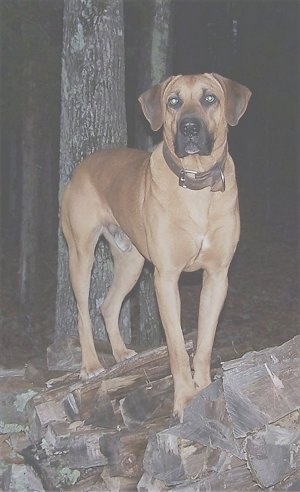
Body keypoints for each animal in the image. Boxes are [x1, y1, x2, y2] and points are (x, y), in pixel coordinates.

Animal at [61, 73, 251, 418]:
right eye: (173, 101)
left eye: (210, 99)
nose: (190, 128)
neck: (196, 184)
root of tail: (83, 164)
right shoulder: (166, 277)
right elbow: (176, 346)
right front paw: (185, 399)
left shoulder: (217, 276)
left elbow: (205, 342)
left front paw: (204, 387)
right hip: (81, 254)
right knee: (83, 312)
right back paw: (91, 365)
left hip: (131, 262)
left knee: (108, 305)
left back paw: (122, 353)